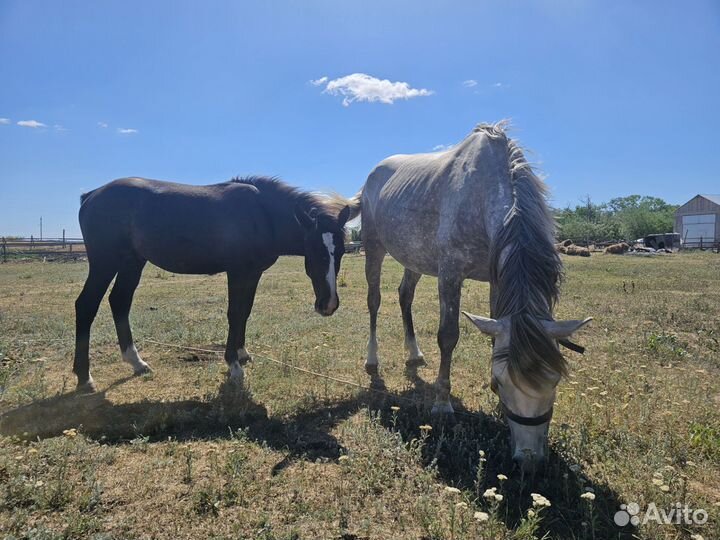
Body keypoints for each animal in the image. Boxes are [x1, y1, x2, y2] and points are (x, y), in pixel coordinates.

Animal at [73, 176, 355, 393]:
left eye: (341, 251)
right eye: (313, 251)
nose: (328, 305)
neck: (262, 214)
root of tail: (90, 195)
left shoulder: (252, 274)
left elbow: (245, 312)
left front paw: (242, 353)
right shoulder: (237, 272)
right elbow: (235, 313)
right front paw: (233, 366)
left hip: (132, 262)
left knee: (120, 302)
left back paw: (136, 362)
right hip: (105, 263)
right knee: (86, 305)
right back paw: (84, 378)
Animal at [355, 123, 592, 472]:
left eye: (555, 381)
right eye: (503, 382)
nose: (529, 461)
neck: (483, 194)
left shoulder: (497, 280)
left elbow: (495, 338)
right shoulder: (450, 274)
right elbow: (448, 336)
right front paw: (442, 404)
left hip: (415, 257)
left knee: (405, 296)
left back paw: (414, 354)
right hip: (374, 248)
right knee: (374, 301)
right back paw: (372, 360)